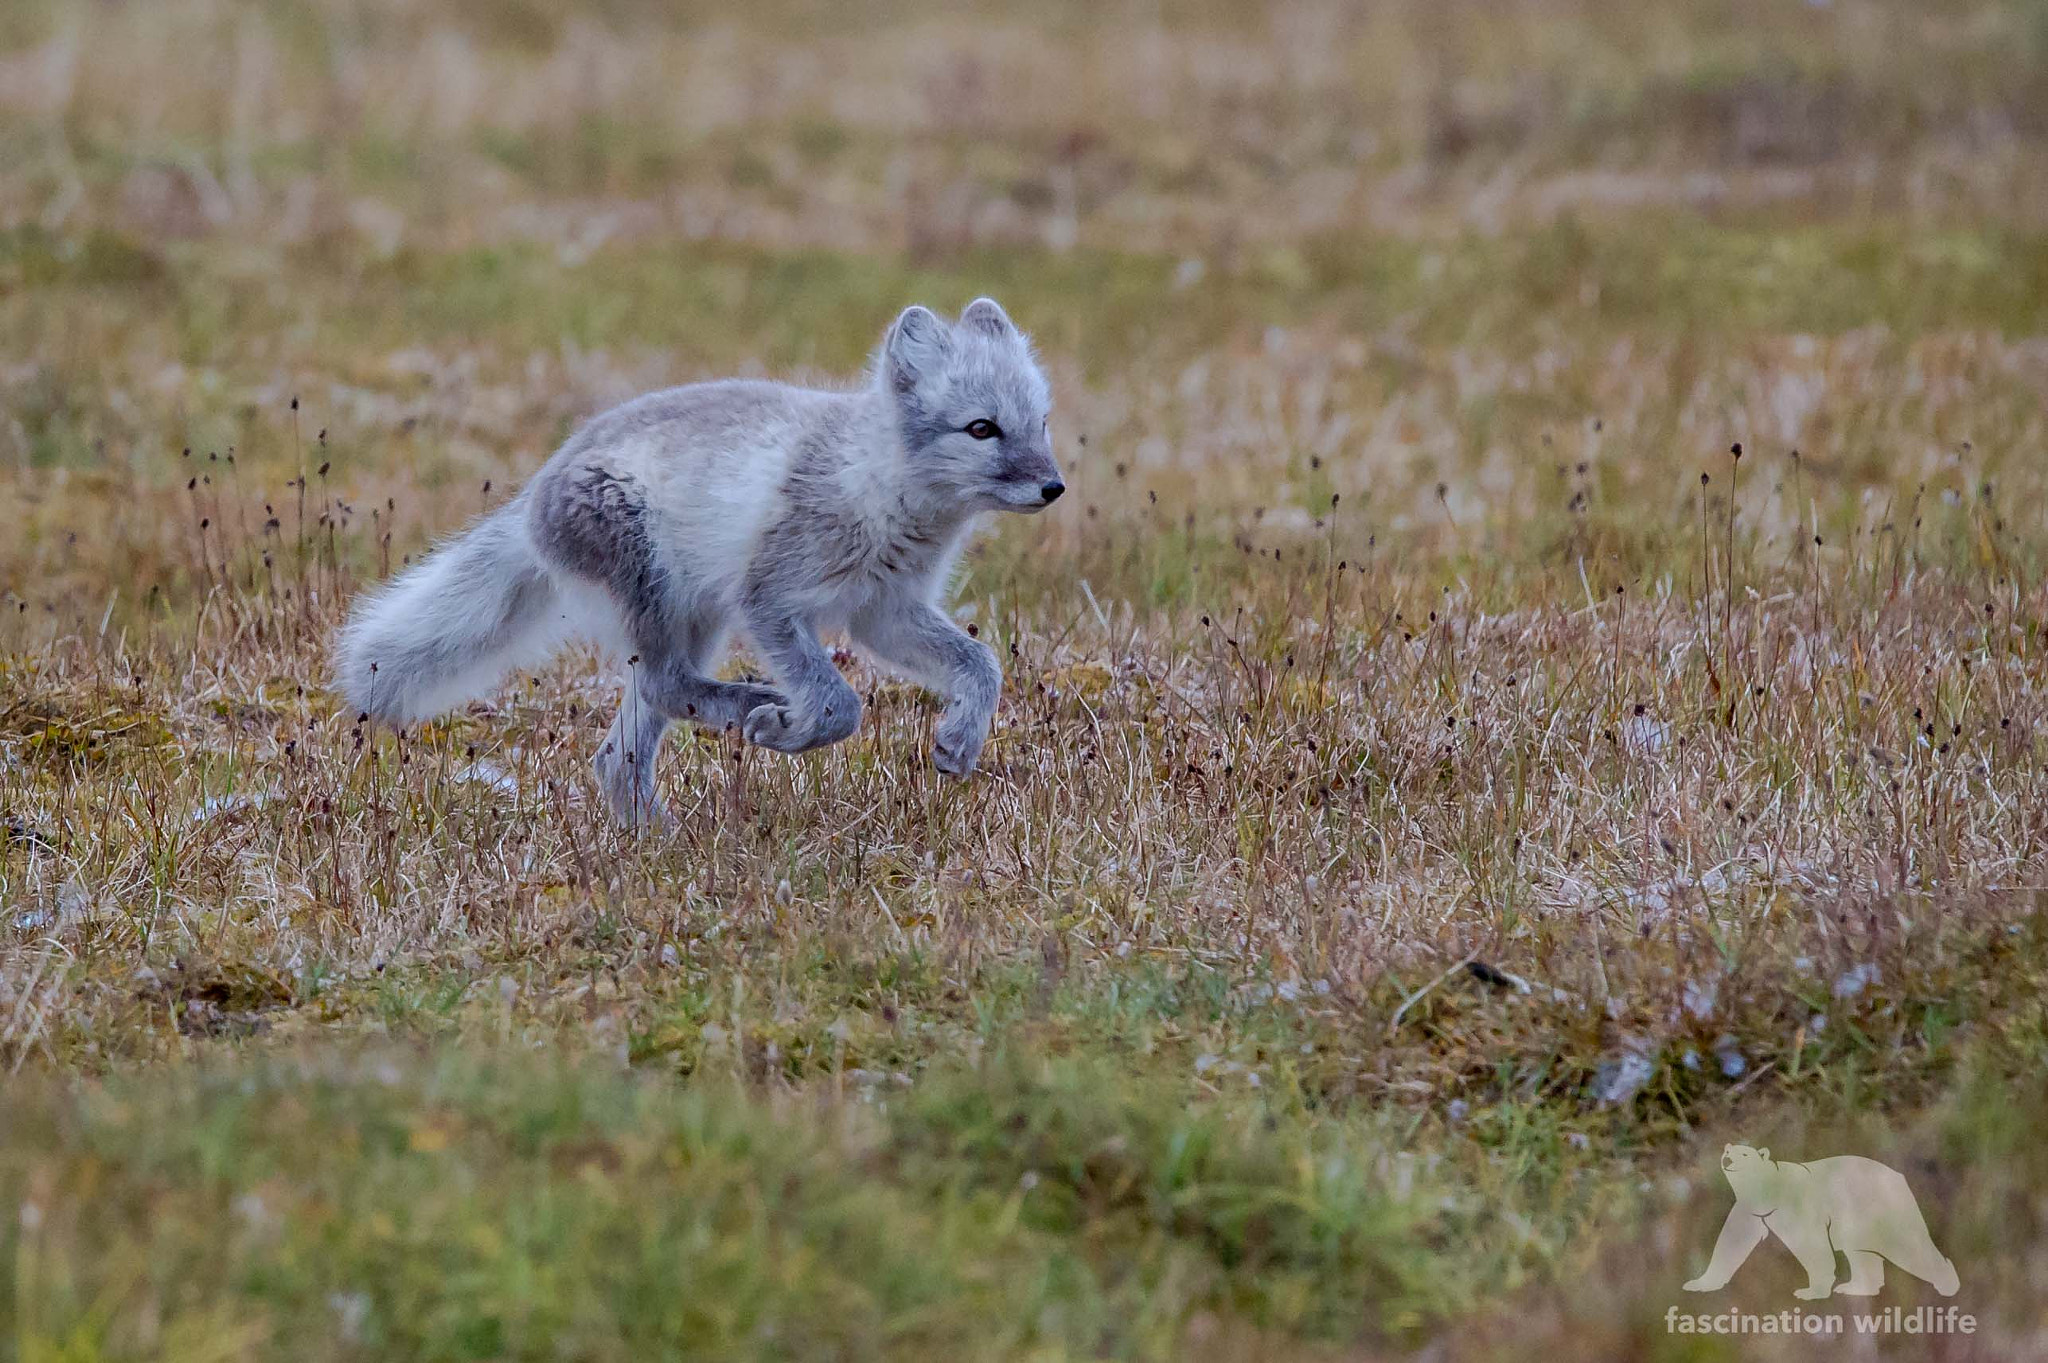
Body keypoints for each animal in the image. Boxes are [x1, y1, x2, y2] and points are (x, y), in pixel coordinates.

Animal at [335, 297, 1063, 826]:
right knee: (665, 687)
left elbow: (981, 663)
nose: (1053, 487)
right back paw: (748, 711)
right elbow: (839, 705)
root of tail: (534, 495)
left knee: (617, 755)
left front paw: (960, 740)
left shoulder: (885, 612)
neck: (878, 485)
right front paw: (789, 730)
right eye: (981, 429)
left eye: (1042, 422)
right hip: (665, 599)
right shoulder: (769, 600)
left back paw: (659, 837)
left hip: (697, 620)